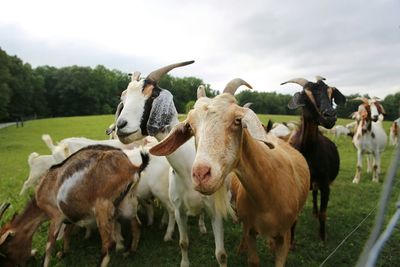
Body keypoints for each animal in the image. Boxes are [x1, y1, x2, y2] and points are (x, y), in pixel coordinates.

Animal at [0, 146, 148, 267]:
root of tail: (132, 168)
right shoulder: (69, 214)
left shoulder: (56, 215)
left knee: (108, 244)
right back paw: (130, 252)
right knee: (137, 225)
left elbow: (49, 244)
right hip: (128, 203)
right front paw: (64, 252)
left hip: (102, 207)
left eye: (6, 250)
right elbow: (67, 232)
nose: (14, 265)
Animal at [115, 61, 233, 267]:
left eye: (153, 94)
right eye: (125, 96)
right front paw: (184, 262)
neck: (187, 166)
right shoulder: (179, 210)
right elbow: (183, 242)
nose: (121, 126)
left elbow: (221, 254)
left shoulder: (215, 212)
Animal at [149, 78, 310, 266]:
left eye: (237, 121)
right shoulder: (250, 229)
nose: (201, 175)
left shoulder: (283, 236)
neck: (269, 190)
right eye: (190, 127)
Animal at [280, 77, 346, 241]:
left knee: (315, 194)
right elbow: (294, 219)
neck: (308, 154)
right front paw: (291, 242)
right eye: (306, 95)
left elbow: (323, 213)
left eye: (331, 94)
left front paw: (322, 236)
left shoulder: (325, 184)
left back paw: (315, 212)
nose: (330, 115)